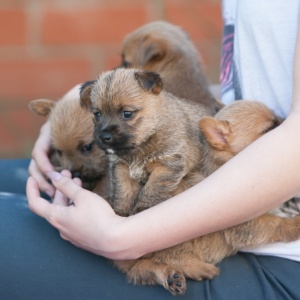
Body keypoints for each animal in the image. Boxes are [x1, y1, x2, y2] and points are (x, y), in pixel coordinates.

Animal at [81, 69, 300, 296]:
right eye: (268, 129)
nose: (285, 119)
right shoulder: (247, 225)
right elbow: (275, 224)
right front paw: (296, 224)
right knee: (171, 257)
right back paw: (198, 268)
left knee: (143, 269)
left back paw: (170, 276)